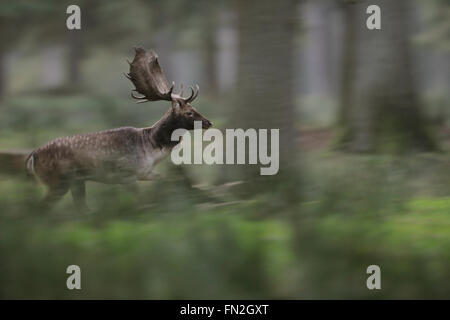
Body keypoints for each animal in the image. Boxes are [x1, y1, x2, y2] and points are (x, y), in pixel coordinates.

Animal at [26, 46, 213, 209]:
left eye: (195, 108)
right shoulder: (125, 174)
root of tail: (32, 156)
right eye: (189, 112)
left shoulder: (145, 173)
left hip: (76, 181)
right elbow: (143, 201)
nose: (208, 122)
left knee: (79, 208)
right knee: (42, 208)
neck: (150, 148)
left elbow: (166, 181)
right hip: (58, 181)